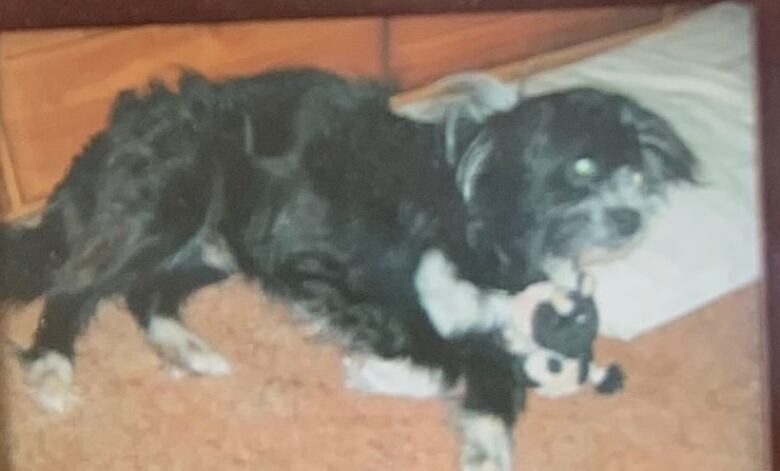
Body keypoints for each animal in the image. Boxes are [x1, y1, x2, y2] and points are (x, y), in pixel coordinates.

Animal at [0, 68, 696, 470]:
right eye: (582, 168)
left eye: (637, 176)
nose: (632, 219)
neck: (478, 210)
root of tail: (120, 127)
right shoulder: (331, 275)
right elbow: (455, 354)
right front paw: (402, 380)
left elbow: (495, 364)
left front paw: (485, 436)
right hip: (173, 202)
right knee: (75, 288)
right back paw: (54, 371)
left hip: (219, 245)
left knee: (145, 295)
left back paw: (189, 351)